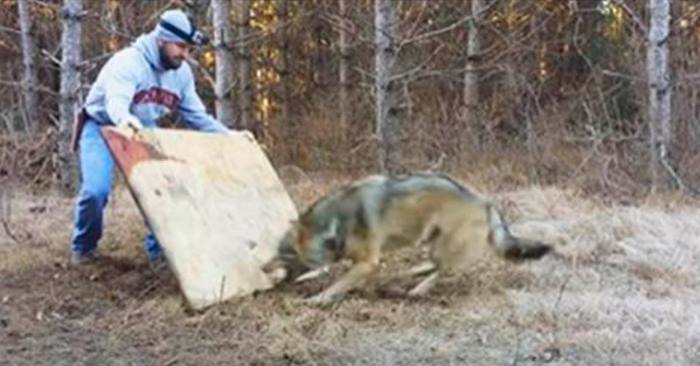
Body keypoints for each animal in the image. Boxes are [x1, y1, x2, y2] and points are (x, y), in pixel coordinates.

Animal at [264, 173, 552, 304]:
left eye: (290, 255)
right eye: (281, 252)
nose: (265, 268)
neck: (336, 224)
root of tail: (486, 202)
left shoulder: (367, 262)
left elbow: (338, 284)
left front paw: (318, 299)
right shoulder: (369, 263)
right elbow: (359, 280)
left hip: (444, 247)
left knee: (444, 270)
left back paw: (417, 289)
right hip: (432, 242)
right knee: (435, 266)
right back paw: (410, 274)